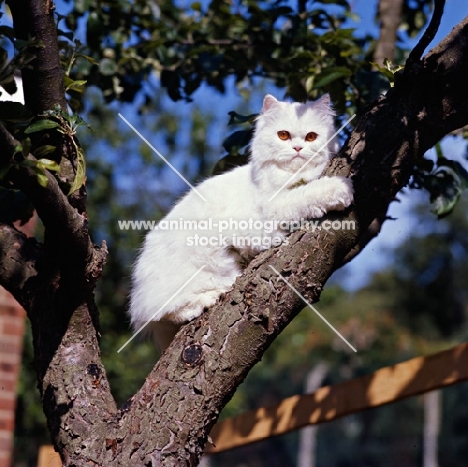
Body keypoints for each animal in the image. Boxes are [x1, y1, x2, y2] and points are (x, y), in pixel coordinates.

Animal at [128, 95, 352, 352]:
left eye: (311, 137)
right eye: (283, 135)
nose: (297, 149)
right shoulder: (273, 209)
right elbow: (308, 193)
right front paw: (342, 189)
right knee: (161, 311)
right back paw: (209, 298)